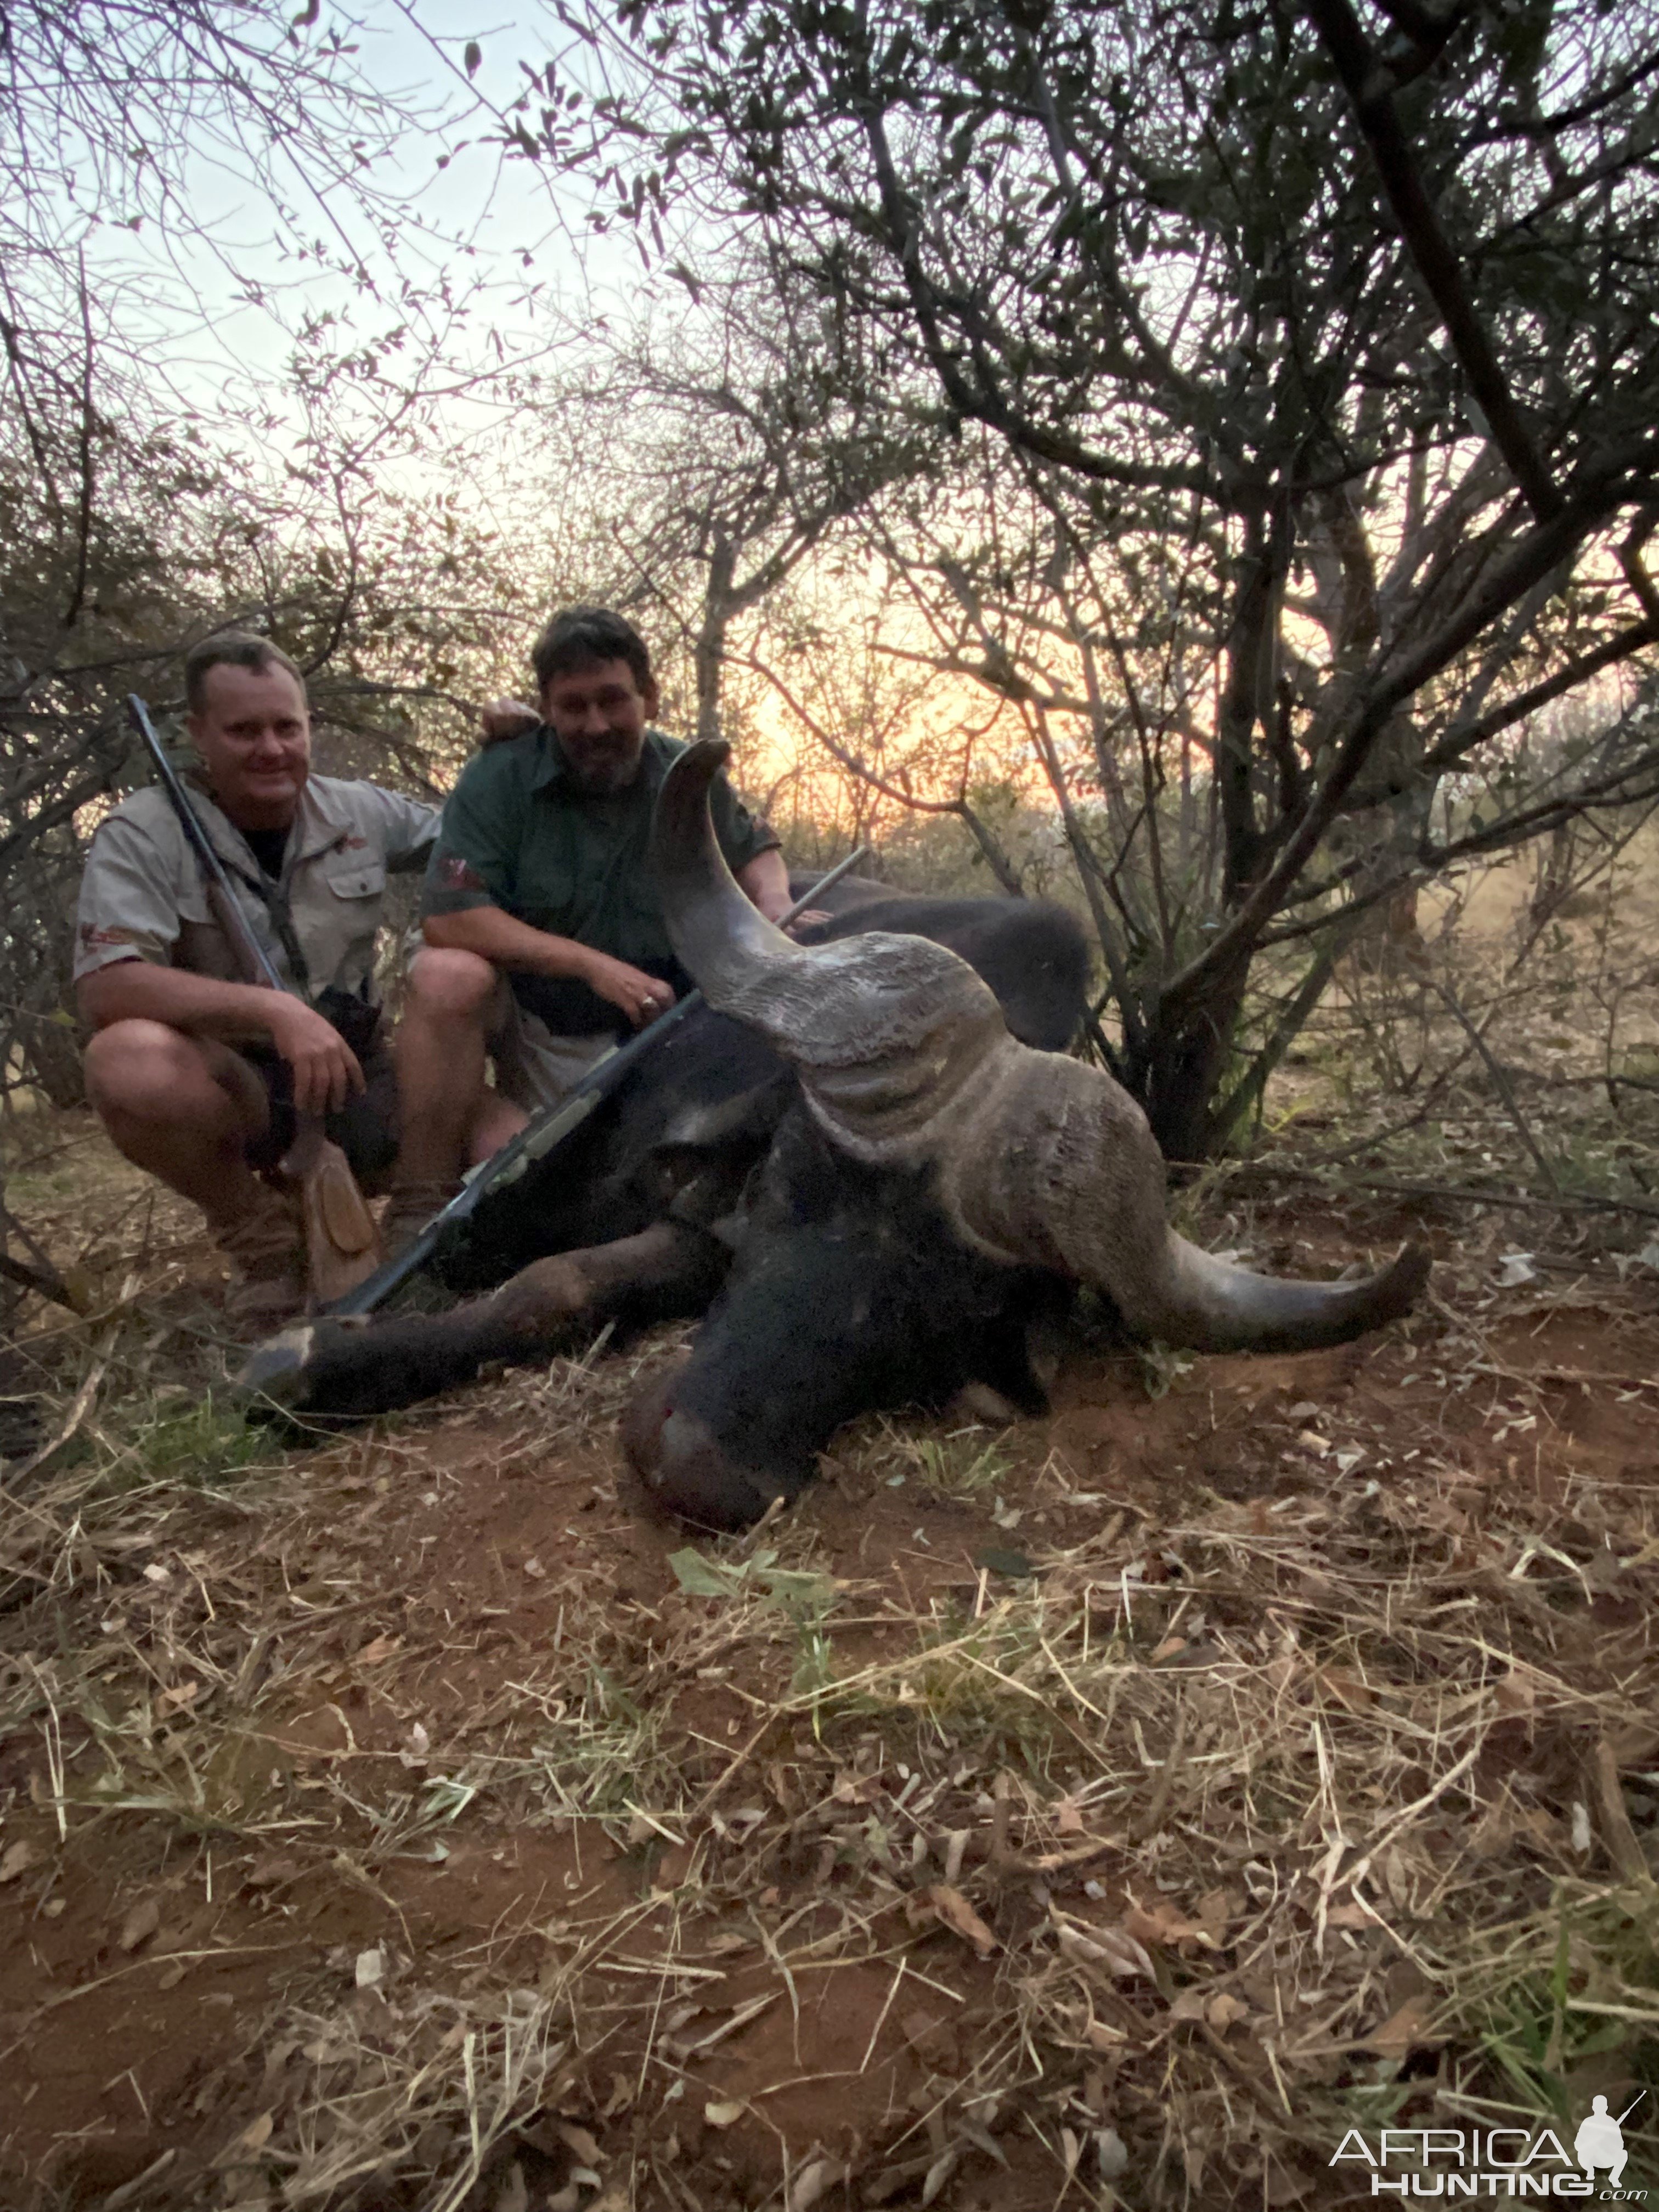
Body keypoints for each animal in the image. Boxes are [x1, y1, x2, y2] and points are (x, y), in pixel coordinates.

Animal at [240, 738, 1433, 1522]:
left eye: (941, 1307)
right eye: (788, 1189)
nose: (690, 1464)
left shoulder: (688, 1244)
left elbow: (572, 1288)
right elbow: (539, 1282)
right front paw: (307, 1359)